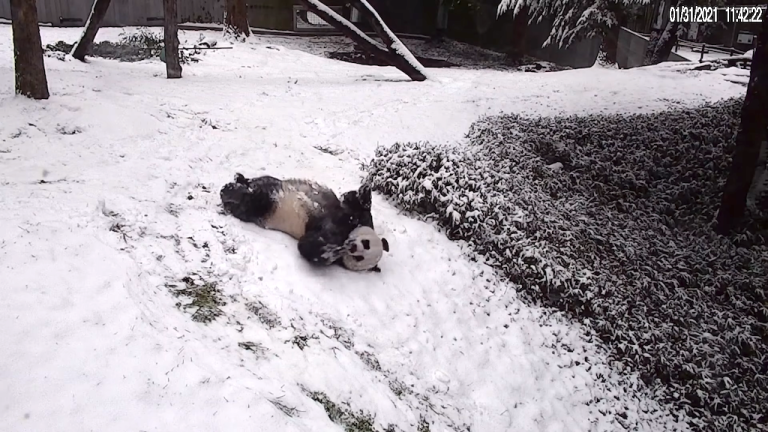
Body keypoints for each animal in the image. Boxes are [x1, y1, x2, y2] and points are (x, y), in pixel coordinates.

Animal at [220, 173, 390, 272]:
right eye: (367, 243)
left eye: (360, 258)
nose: (353, 246)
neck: (348, 229)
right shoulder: (354, 215)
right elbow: (352, 200)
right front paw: (365, 193)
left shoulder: (329, 235)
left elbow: (308, 246)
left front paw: (331, 252)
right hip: (271, 187)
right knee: (256, 183)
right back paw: (236, 182)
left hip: (262, 209)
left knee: (250, 203)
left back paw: (232, 192)